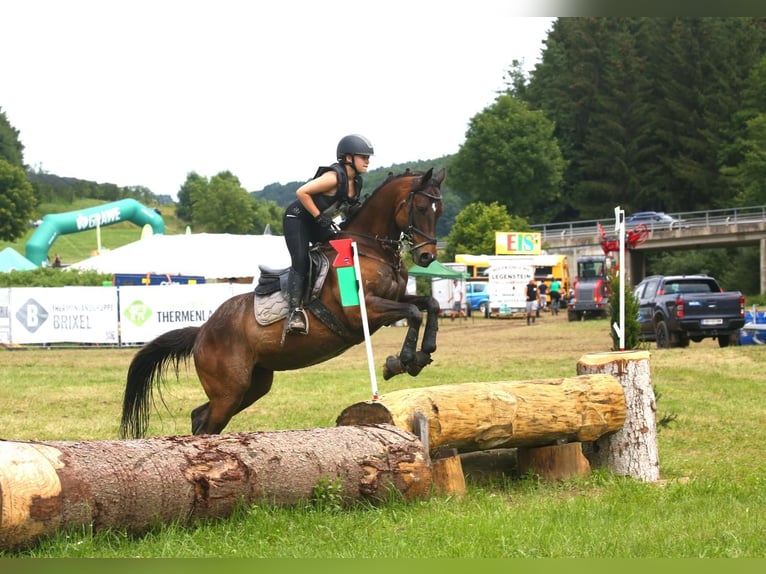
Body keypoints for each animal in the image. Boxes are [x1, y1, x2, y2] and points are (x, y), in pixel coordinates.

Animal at [118, 169, 444, 438]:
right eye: (421, 208)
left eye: (437, 211)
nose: (426, 256)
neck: (369, 248)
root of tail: (201, 332)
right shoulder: (362, 311)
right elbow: (413, 312)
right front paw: (402, 361)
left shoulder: (392, 300)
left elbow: (429, 304)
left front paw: (423, 352)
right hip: (229, 390)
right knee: (207, 423)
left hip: (253, 385)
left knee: (200, 417)